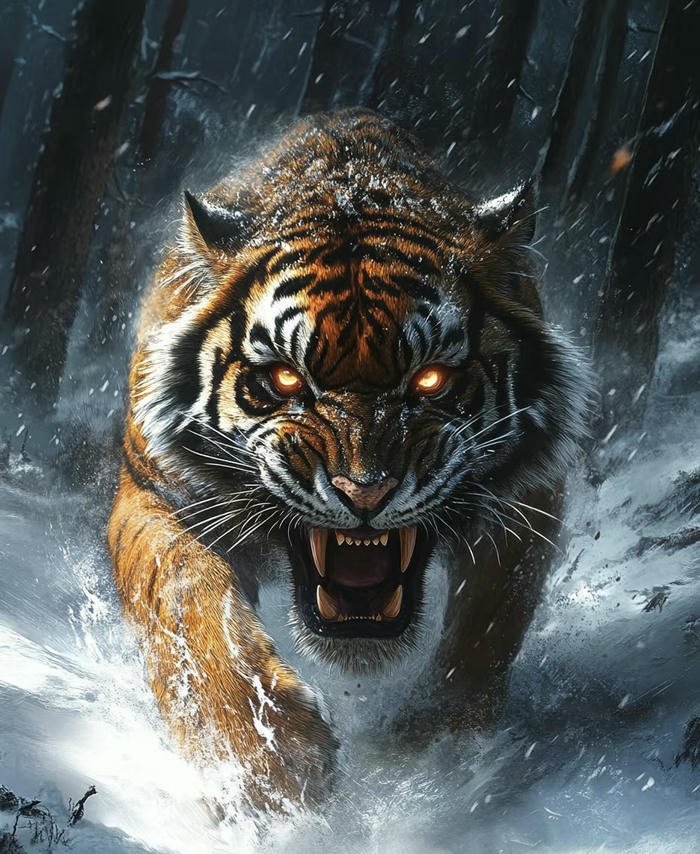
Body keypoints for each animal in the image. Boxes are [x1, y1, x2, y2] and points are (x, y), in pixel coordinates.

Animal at [107, 108, 589, 811]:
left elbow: (486, 635)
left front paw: (433, 754)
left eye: (431, 380)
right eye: (284, 380)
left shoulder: (527, 499)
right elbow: (185, 600)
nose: (364, 492)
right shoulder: (157, 493)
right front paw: (265, 762)